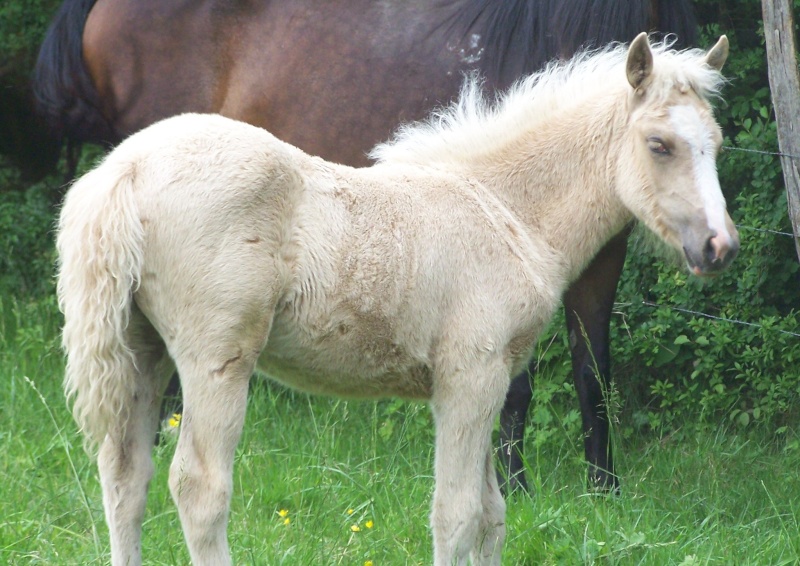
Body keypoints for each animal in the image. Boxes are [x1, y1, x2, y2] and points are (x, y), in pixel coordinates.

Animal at [57, 33, 736, 564]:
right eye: (660, 145)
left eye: (718, 143)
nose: (719, 246)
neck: (505, 210)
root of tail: (124, 173)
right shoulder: (469, 378)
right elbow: (457, 514)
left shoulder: (490, 383)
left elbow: (492, 514)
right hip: (216, 360)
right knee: (199, 489)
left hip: (142, 350)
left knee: (124, 477)